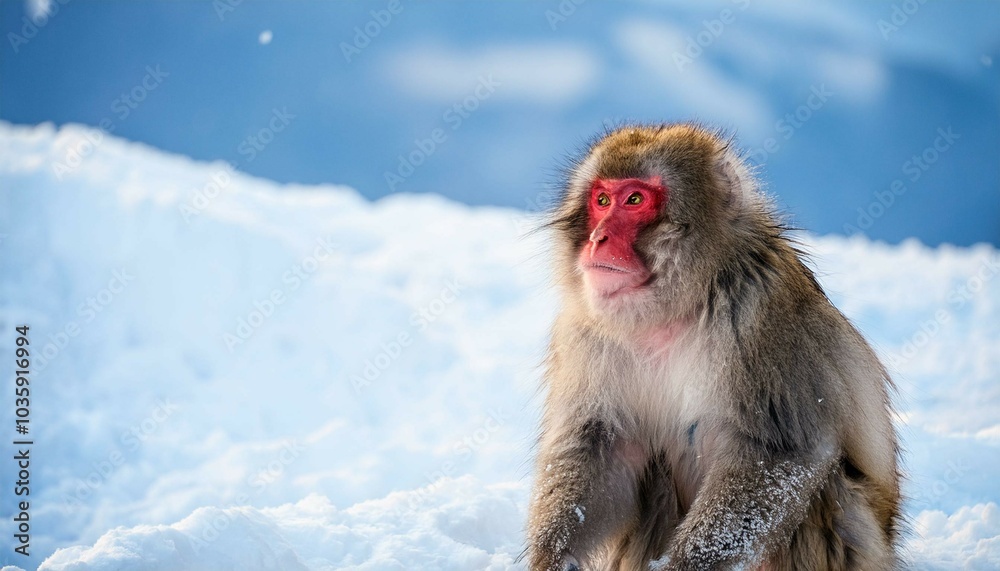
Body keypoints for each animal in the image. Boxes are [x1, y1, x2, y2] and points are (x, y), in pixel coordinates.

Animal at [524, 124, 901, 571]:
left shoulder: (762, 320)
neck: (675, 308)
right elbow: (598, 447)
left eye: (634, 200)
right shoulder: (585, 333)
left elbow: (778, 453)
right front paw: (553, 560)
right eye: (601, 201)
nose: (598, 239)